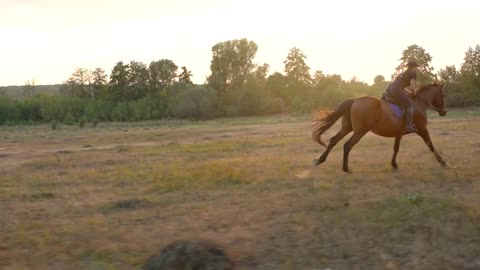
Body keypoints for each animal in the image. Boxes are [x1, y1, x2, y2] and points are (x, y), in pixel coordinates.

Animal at [314, 82, 448, 174]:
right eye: (443, 94)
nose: (444, 112)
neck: (419, 104)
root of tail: (355, 100)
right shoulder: (422, 129)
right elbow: (430, 145)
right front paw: (443, 162)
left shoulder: (399, 133)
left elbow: (396, 148)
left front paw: (394, 165)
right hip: (360, 131)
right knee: (347, 145)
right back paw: (346, 169)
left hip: (347, 128)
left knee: (333, 140)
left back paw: (320, 160)